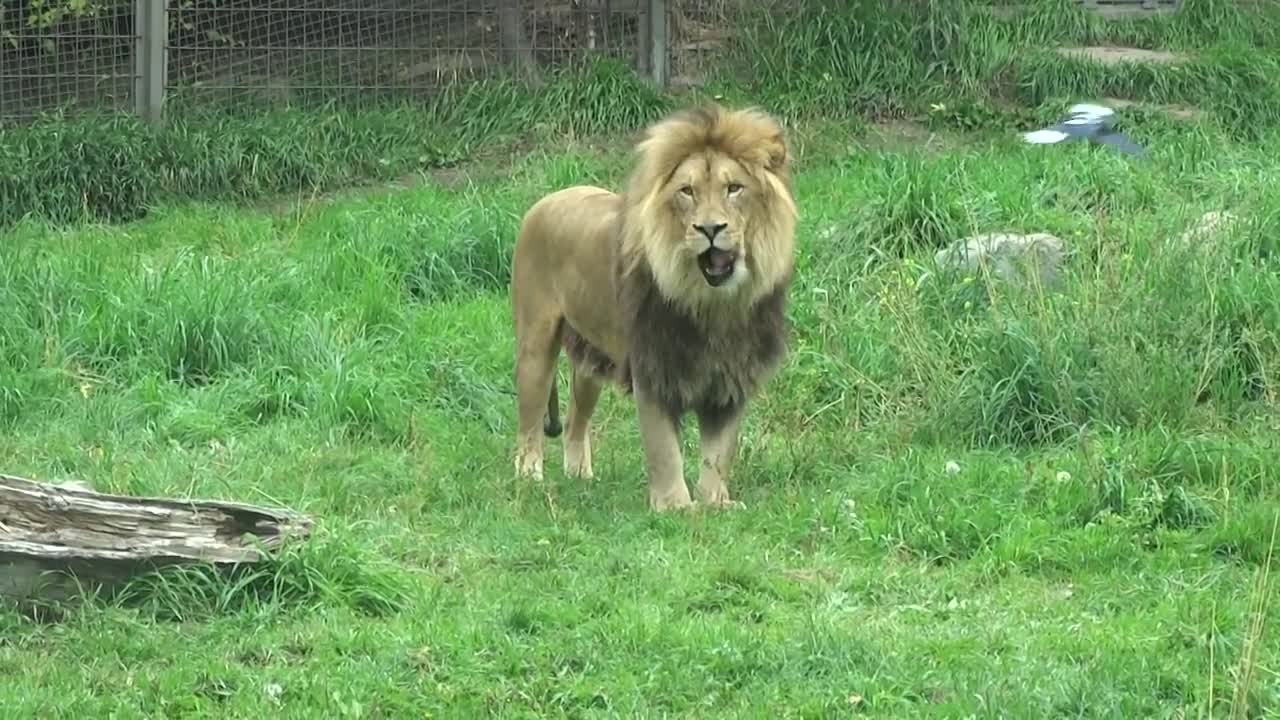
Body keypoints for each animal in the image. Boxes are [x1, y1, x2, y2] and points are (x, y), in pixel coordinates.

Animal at [512, 105, 798, 509]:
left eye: (734, 188)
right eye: (687, 191)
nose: (711, 229)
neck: (712, 306)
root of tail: (548, 198)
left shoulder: (730, 377)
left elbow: (719, 451)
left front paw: (715, 503)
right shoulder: (653, 368)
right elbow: (664, 449)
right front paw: (675, 507)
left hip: (590, 361)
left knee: (573, 422)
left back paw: (581, 479)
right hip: (535, 347)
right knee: (529, 424)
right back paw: (531, 480)